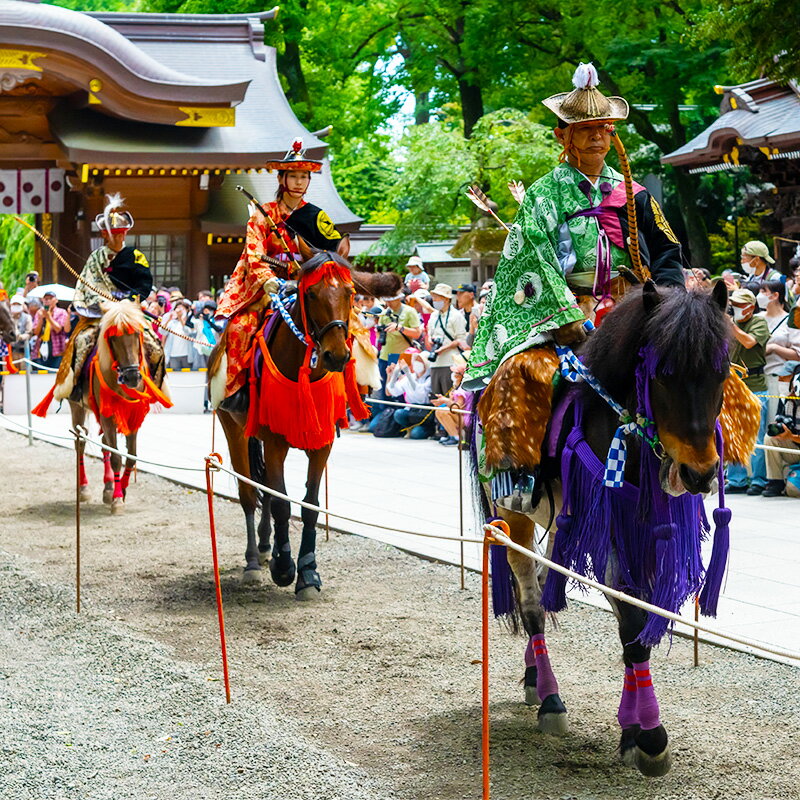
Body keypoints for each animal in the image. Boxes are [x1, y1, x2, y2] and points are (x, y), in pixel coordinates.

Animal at [67, 300, 172, 512]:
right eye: (113, 338)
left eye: (137, 334)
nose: (132, 377)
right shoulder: (107, 415)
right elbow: (116, 457)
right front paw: (117, 499)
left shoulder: (132, 415)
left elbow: (131, 456)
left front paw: (120, 490)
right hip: (77, 407)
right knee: (80, 442)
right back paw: (84, 489)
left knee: (104, 445)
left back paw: (108, 487)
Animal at [212, 239, 404, 600]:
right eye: (311, 294)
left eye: (350, 293)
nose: (337, 355)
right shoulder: (275, 438)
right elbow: (280, 503)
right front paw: (285, 568)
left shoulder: (321, 440)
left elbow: (310, 504)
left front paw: (308, 572)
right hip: (233, 425)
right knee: (249, 493)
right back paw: (253, 561)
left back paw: (265, 547)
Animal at [478, 282, 736, 776]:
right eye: (662, 375)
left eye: (719, 372)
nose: (699, 474)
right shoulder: (613, 530)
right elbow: (631, 623)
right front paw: (651, 738)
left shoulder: (648, 532)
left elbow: (636, 622)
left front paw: (631, 730)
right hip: (512, 513)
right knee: (531, 600)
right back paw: (550, 699)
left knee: (546, 581)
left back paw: (533, 677)